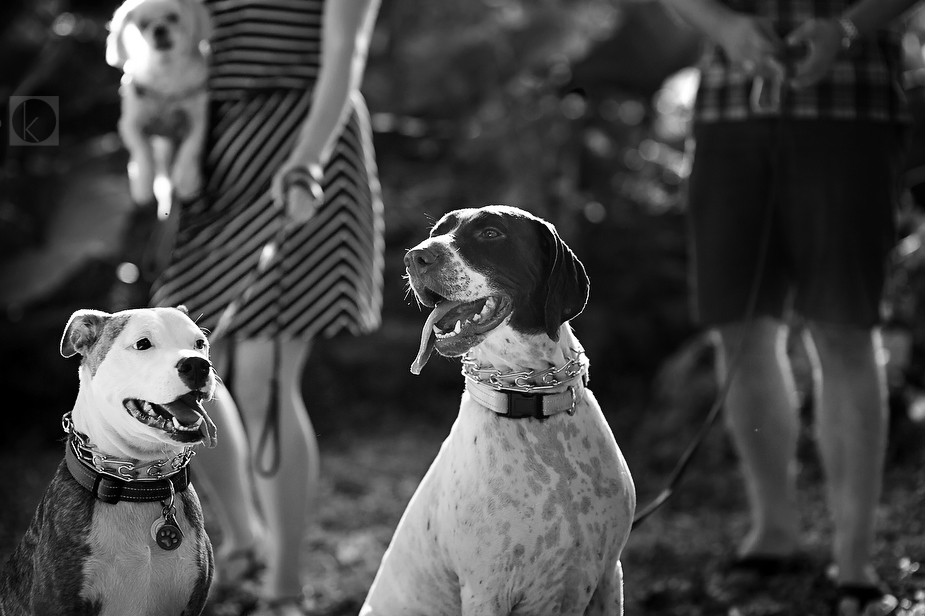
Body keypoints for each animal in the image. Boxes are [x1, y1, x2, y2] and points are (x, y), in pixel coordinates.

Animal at [360, 205, 636, 612]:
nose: (414, 257)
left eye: (491, 233)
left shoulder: (609, 577)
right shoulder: (486, 594)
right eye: (437, 232)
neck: (531, 398)